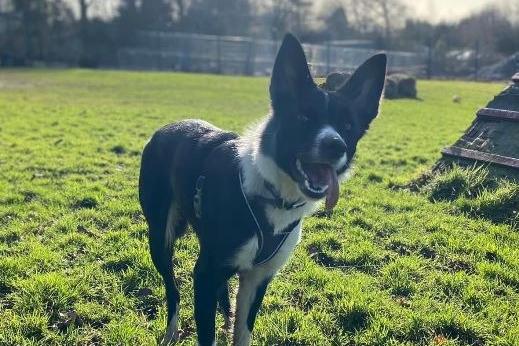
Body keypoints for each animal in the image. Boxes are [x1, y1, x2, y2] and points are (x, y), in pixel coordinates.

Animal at [138, 33, 386, 346]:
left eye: (347, 126)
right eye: (303, 117)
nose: (335, 145)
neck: (274, 195)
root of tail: (165, 129)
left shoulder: (257, 279)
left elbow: (243, 330)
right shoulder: (204, 276)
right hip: (160, 237)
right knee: (172, 288)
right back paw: (172, 331)